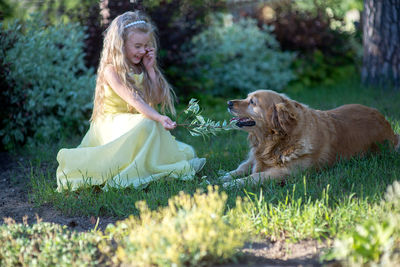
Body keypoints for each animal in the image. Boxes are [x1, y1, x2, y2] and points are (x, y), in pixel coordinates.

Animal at [220, 89, 398, 187]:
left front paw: (231, 184)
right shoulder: (253, 158)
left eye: (252, 102)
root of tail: (385, 121)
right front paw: (224, 177)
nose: (228, 102)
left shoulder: (287, 172)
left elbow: (255, 176)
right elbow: (241, 168)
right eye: (246, 97)